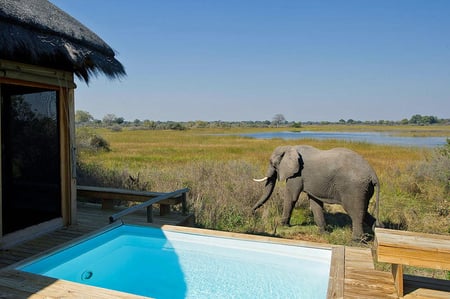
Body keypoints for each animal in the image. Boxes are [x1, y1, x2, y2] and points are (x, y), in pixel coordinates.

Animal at [251, 145, 382, 241]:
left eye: (272, 163)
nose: (252, 213)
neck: (289, 147)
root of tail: (373, 174)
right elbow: (315, 202)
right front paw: (323, 232)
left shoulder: (297, 175)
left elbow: (291, 197)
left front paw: (283, 225)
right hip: (363, 189)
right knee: (363, 210)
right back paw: (378, 230)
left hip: (354, 188)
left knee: (355, 211)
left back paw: (356, 240)